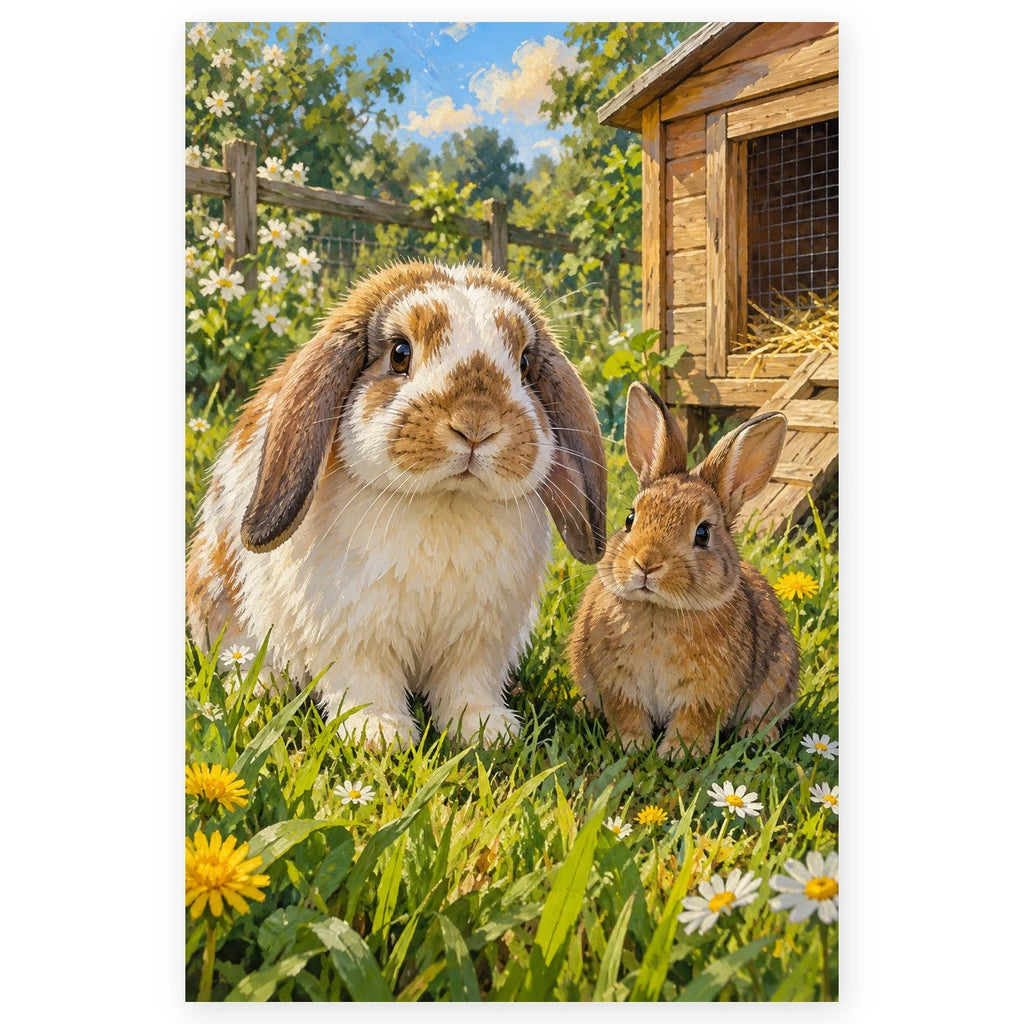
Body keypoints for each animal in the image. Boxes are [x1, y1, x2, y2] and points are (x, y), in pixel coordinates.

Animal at [186, 261, 607, 751]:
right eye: (400, 354)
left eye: (523, 363)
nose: (476, 425)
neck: (446, 502)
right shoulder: (355, 633)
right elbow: (366, 683)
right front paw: (380, 734)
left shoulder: (476, 642)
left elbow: (466, 685)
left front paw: (486, 730)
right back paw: (262, 686)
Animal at [569, 381, 799, 759]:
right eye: (630, 519)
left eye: (703, 534)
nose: (647, 563)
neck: (658, 609)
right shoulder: (619, 686)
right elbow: (628, 714)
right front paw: (631, 745)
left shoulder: (706, 695)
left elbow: (694, 722)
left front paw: (678, 752)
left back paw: (756, 734)